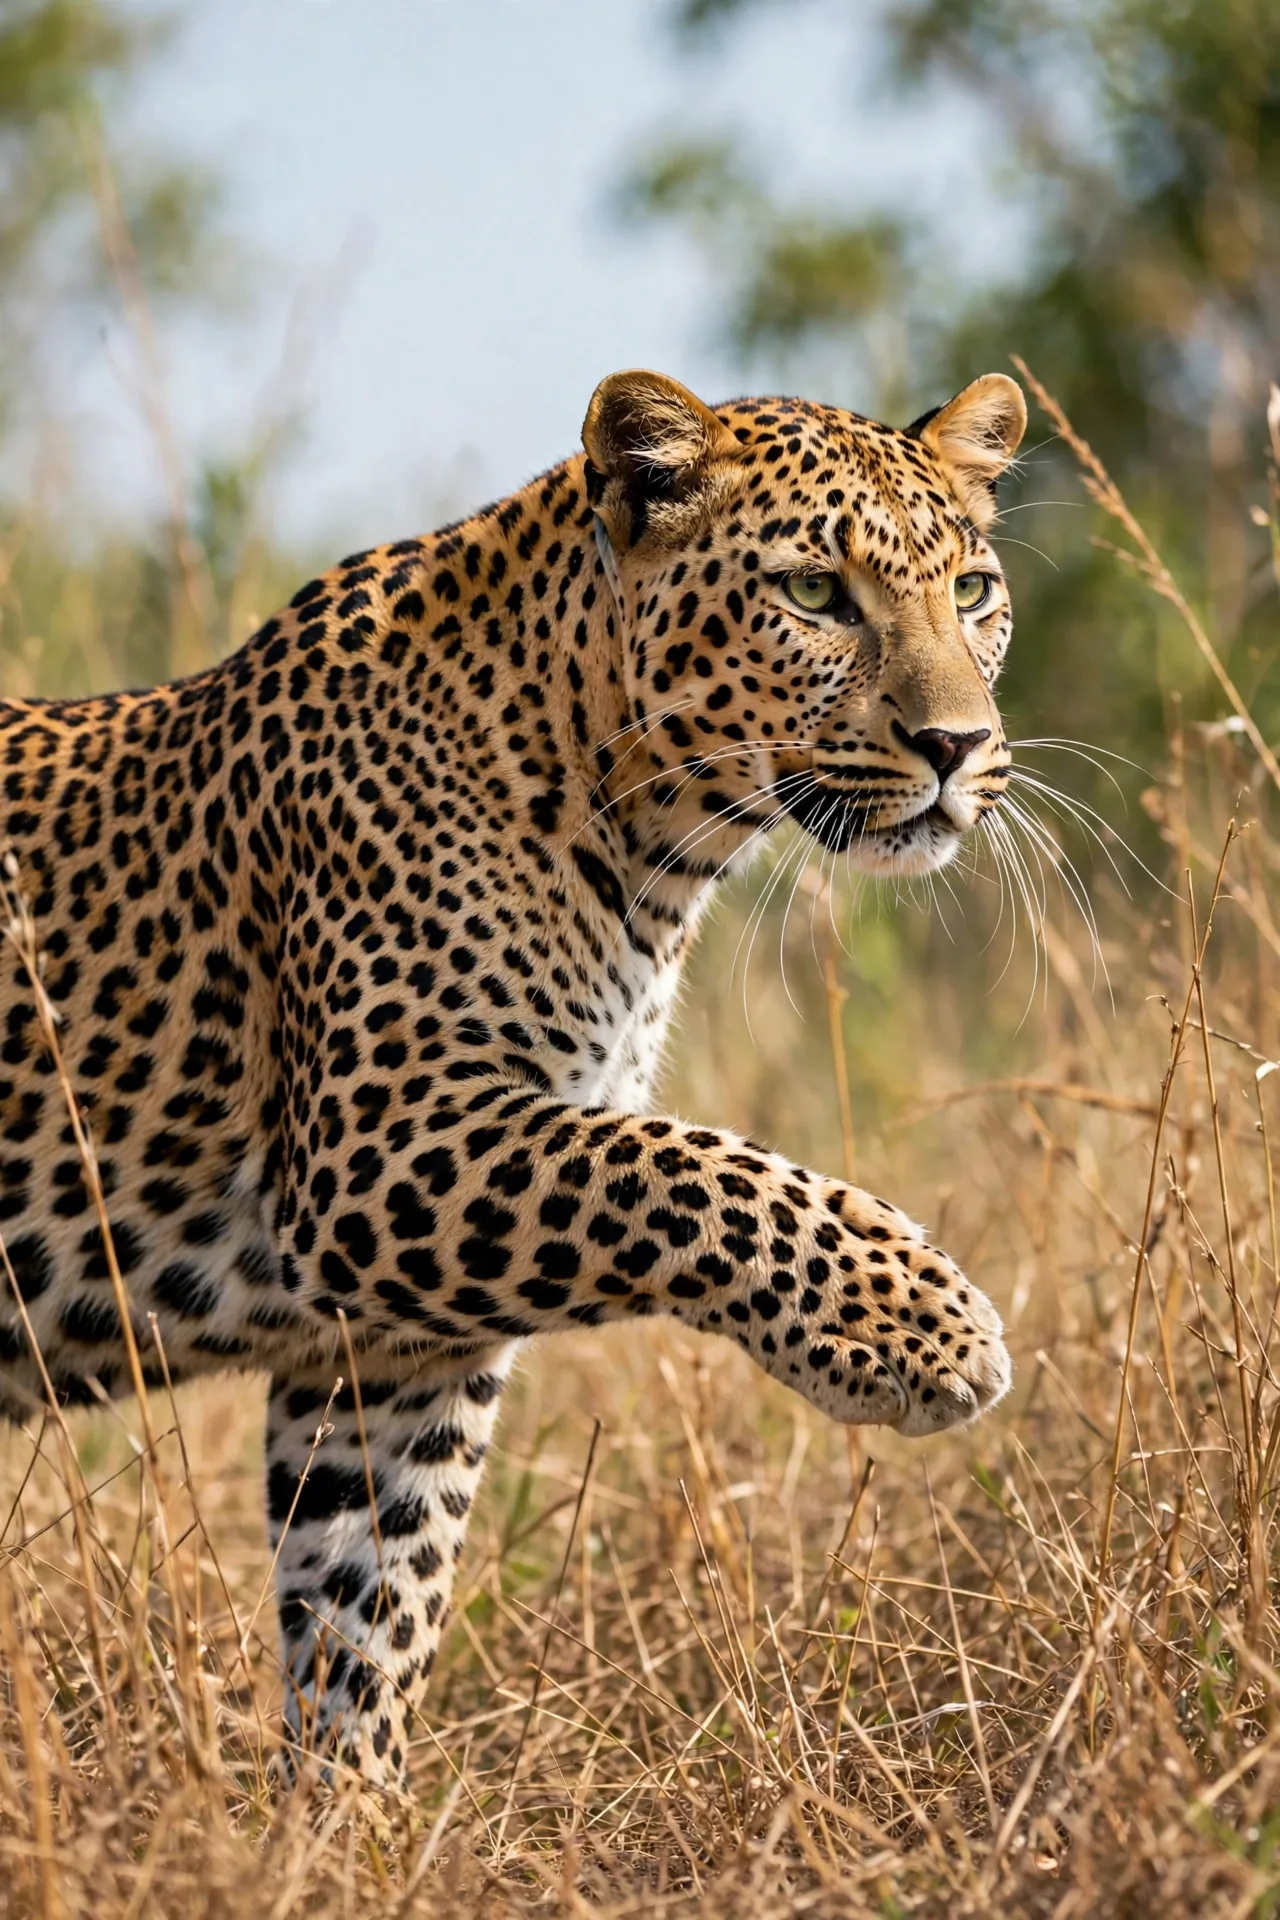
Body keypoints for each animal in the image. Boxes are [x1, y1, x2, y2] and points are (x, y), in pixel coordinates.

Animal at [0, 366, 1026, 1788]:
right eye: (814, 593)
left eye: (971, 591)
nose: (956, 744)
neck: (647, 839)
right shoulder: (381, 1151)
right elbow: (691, 1169)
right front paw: (919, 1327)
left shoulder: (393, 1344)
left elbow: (369, 1602)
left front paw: (347, 1819)